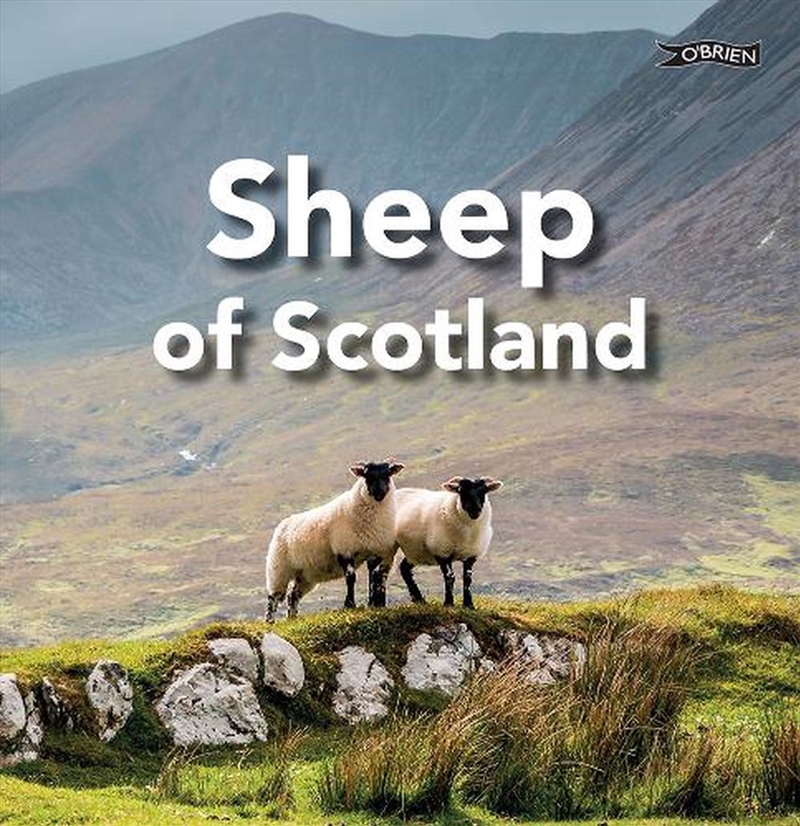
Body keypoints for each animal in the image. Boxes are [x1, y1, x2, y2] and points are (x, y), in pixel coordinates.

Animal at [265, 459, 404, 621]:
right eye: (366, 475)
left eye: (387, 474)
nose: (379, 493)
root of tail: (283, 524)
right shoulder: (344, 550)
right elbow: (350, 577)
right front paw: (350, 605)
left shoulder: (374, 553)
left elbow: (373, 578)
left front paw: (372, 605)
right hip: (279, 568)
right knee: (273, 597)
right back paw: (270, 621)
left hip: (305, 575)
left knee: (292, 596)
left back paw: (292, 619)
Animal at [394, 476, 503, 609]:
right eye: (460, 491)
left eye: (484, 491)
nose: (474, 509)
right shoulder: (442, 552)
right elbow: (450, 577)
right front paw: (448, 603)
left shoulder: (471, 555)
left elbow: (467, 578)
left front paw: (468, 605)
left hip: (416, 552)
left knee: (404, 568)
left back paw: (419, 599)